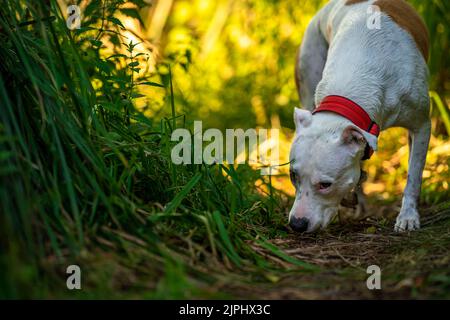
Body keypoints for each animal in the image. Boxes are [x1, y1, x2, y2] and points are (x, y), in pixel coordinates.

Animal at [290, 0, 430, 232]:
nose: (297, 224)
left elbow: (414, 175)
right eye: (293, 176)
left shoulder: (422, 125)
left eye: (325, 185)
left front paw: (408, 216)